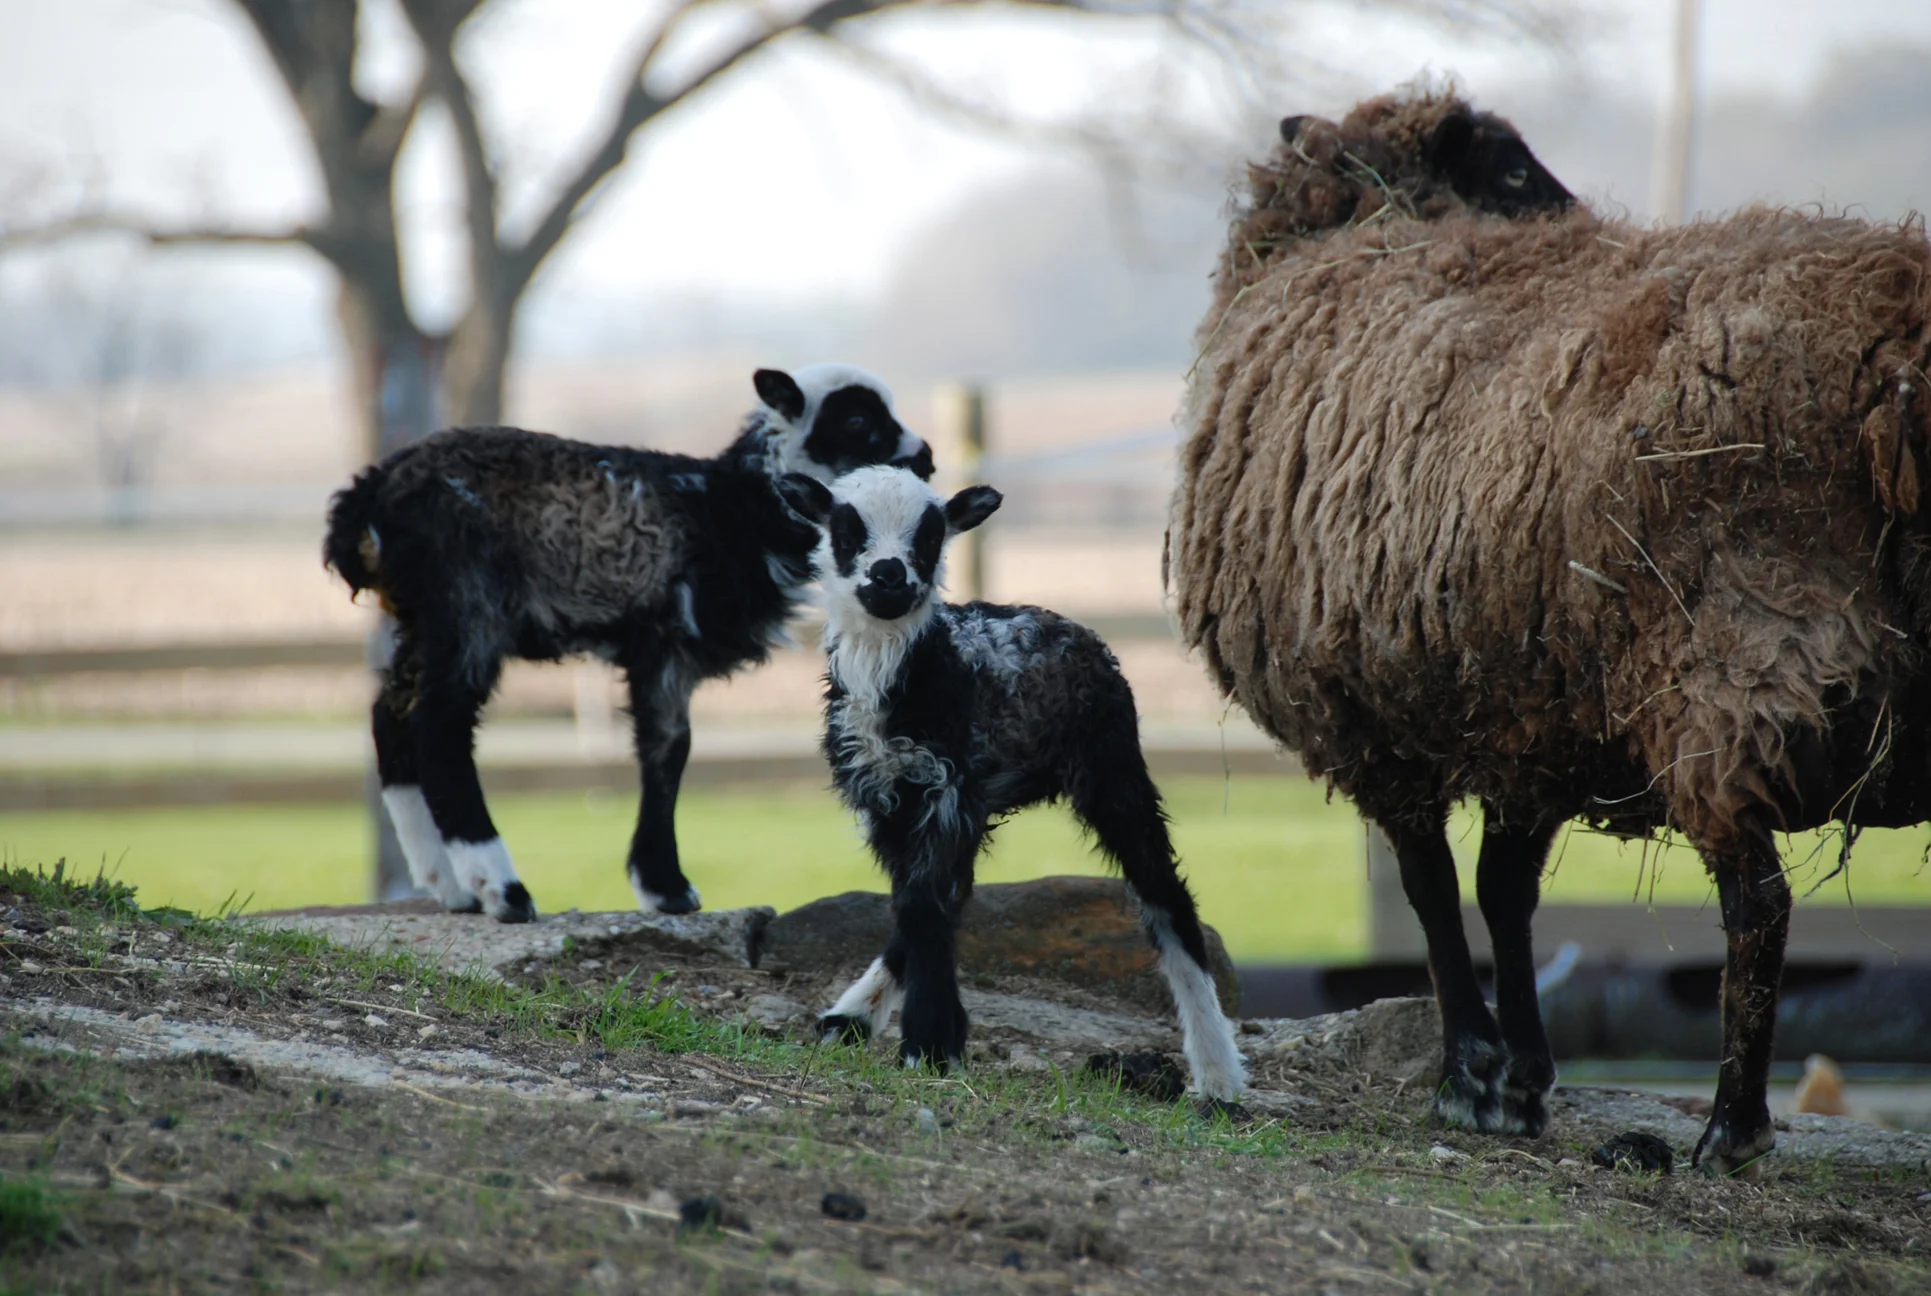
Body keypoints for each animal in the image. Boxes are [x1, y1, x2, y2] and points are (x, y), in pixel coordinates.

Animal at [323, 365, 932, 923]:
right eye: (856, 420)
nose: (925, 457)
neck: (730, 511)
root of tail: (369, 494)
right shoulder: (664, 640)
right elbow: (669, 748)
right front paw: (667, 886)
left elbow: (666, 750)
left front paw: (663, 887)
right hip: (466, 602)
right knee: (439, 725)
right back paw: (501, 888)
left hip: (421, 618)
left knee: (390, 714)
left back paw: (448, 885)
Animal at [777, 465, 1246, 1101]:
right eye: (847, 531)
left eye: (930, 536)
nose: (890, 575)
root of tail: (1068, 623)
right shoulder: (889, 795)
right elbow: (915, 906)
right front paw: (928, 1036)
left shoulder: (946, 788)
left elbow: (923, 905)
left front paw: (929, 1046)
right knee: (950, 896)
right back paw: (850, 1016)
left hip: (1112, 764)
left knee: (1163, 892)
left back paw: (1218, 1073)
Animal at [1167, 86, 1931, 1172]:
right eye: (1518, 171)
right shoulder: (1527, 721)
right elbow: (1497, 890)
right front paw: (1520, 1073)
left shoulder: (1377, 726)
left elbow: (1432, 891)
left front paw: (1468, 1075)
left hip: (1734, 660)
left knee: (1756, 902)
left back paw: (1728, 1128)